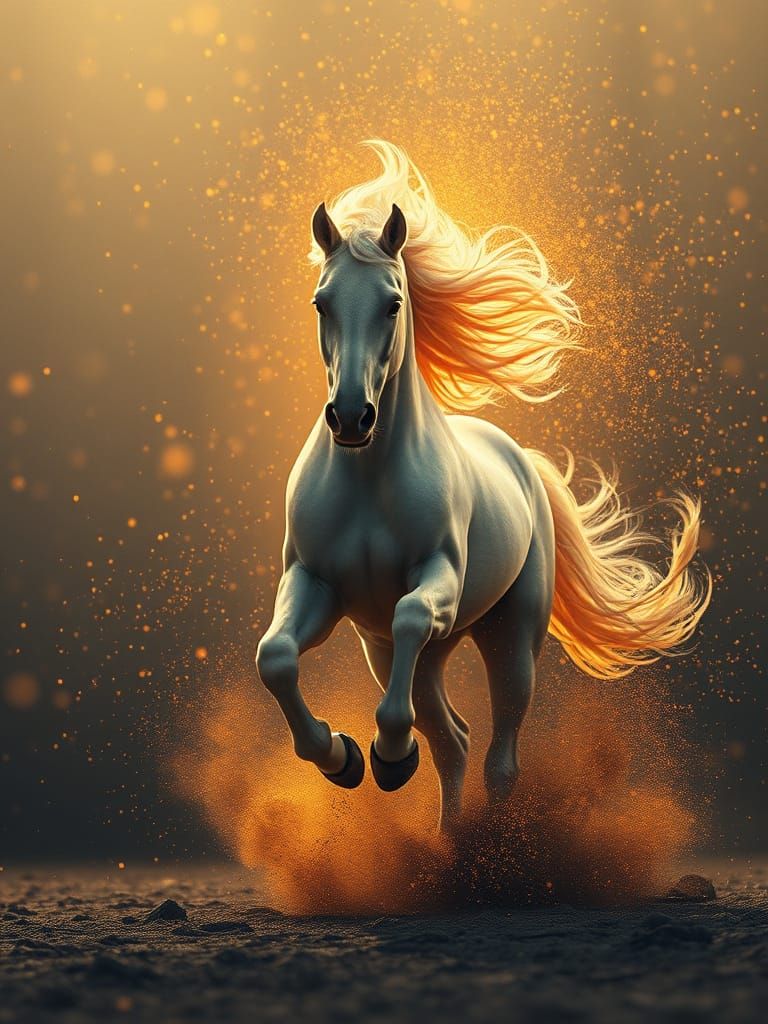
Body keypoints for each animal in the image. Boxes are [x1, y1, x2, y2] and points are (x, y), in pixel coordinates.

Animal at [256, 140, 710, 832]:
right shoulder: (314, 583)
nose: (353, 417)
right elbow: (275, 656)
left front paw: (389, 755)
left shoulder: (436, 578)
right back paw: (445, 841)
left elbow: (413, 617)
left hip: (511, 637)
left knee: (497, 756)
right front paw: (344, 757)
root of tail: (519, 457)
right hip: (392, 650)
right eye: (321, 303)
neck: (367, 481)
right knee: (454, 741)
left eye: (392, 302)